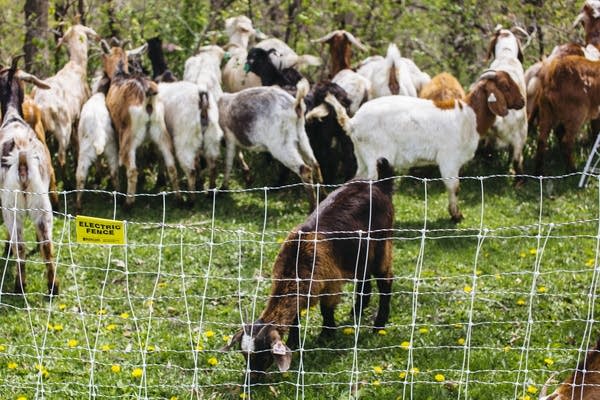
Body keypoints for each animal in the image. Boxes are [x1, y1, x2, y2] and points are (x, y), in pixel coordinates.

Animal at [29, 24, 98, 172]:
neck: (76, 65)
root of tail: (42, 106)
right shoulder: (78, 116)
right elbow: (78, 144)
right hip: (63, 131)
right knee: (61, 159)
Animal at [102, 45, 180, 206]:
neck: (120, 74)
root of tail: (147, 93)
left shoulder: (118, 129)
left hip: (129, 135)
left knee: (132, 169)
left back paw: (128, 203)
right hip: (161, 131)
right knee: (171, 165)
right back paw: (180, 199)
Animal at [218, 77, 324, 209]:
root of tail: (296, 106)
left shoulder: (229, 138)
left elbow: (228, 163)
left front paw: (222, 189)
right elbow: (239, 155)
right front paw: (247, 178)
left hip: (281, 146)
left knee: (305, 170)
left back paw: (313, 208)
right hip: (302, 138)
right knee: (315, 164)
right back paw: (324, 198)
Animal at [223, 156, 396, 382]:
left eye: (263, 356)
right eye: (244, 354)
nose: (250, 380)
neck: (296, 262)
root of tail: (380, 185)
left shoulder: (330, 284)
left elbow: (326, 310)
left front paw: (326, 335)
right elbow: (295, 318)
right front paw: (295, 342)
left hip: (382, 245)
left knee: (386, 280)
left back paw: (378, 325)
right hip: (360, 252)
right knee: (364, 278)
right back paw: (356, 312)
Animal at [322, 69, 524, 222]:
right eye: (505, 86)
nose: (522, 102)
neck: (470, 116)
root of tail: (352, 122)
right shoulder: (449, 159)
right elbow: (454, 187)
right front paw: (456, 215)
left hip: (362, 157)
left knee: (353, 180)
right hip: (374, 156)